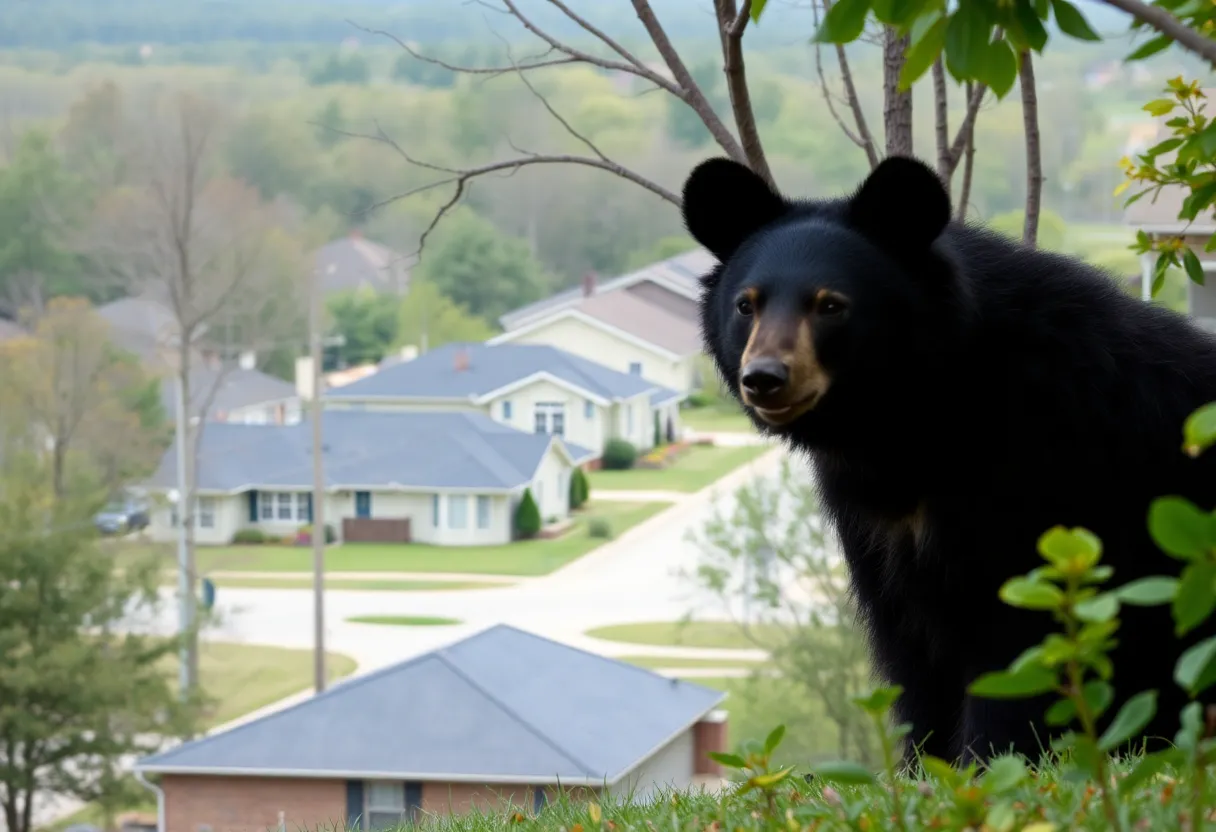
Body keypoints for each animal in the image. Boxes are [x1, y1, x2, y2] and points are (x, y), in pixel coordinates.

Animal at [681, 154, 1216, 765]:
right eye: (746, 305)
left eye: (831, 305)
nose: (764, 379)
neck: (914, 416)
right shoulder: (876, 525)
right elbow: (909, 653)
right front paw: (924, 766)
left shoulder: (1044, 469)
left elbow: (1018, 643)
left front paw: (991, 764)